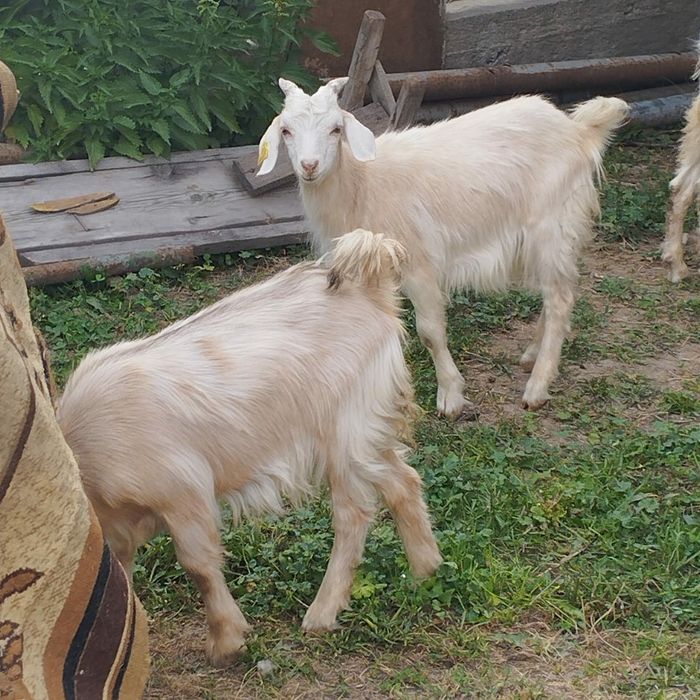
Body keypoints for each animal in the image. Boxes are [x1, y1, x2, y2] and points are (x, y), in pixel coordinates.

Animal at [57, 229, 442, 667]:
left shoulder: (182, 493)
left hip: (344, 431)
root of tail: (369, 284)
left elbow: (199, 566)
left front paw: (227, 640)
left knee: (354, 513)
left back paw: (322, 612)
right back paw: (425, 569)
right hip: (366, 429)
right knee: (403, 481)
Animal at [258, 79, 629, 417]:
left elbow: (430, 332)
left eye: (336, 129)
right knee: (555, 295)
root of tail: (578, 130)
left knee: (560, 299)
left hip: (552, 225)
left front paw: (450, 395)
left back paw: (537, 387)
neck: (362, 183)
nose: (309, 166)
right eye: (286, 130)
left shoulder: (419, 262)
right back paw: (531, 356)